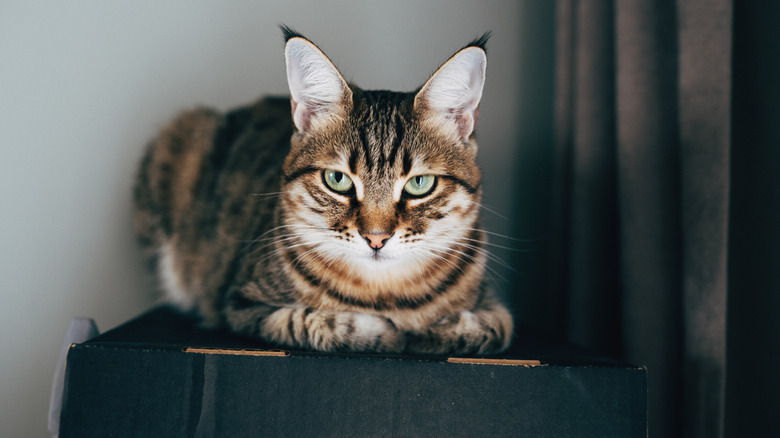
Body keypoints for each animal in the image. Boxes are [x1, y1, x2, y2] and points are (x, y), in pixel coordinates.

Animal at [133, 27, 512, 354]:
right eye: (337, 179)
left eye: (419, 184)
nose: (376, 238)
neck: (383, 293)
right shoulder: (241, 303)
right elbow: (313, 322)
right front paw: (385, 331)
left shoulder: (498, 311)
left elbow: (488, 329)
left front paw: (432, 330)